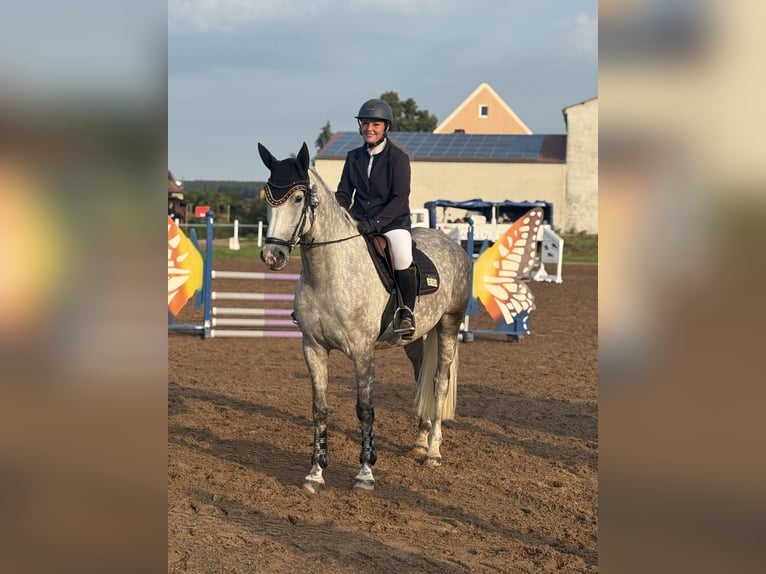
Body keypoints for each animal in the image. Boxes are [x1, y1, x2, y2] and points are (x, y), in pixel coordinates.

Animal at [257, 142, 471, 492]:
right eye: (268, 197)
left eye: (299, 198)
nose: (272, 256)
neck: (329, 274)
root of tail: (450, 242)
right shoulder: (313, 348)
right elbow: (320, 409)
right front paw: (315, 473)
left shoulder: (362, 352)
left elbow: (365, 409)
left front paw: (365, 474)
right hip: (415, 338)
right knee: (421, 379)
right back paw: (420, 441)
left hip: (449, 324)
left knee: (439, 382)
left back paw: (433, 452)